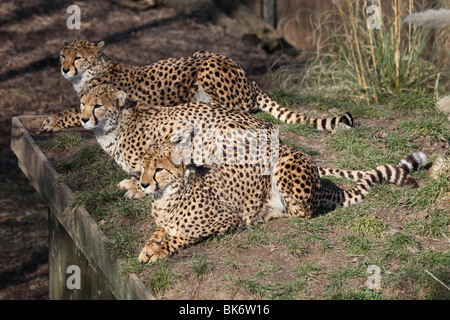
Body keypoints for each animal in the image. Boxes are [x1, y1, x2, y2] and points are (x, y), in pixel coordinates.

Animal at [40, 40, 354, 132]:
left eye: (77, 57)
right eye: (62, 56)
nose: (64, 68)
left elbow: (76, 114)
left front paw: (50, 121)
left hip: (207, 66)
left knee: (243, 108)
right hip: (201, 53)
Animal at [139, 142, 428, 262]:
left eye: (159, 169)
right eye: (143, 167)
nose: (142, 184)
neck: (166, 195)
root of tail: (318, 175)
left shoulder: (226, 219)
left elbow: (182, 235)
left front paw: (160, 251)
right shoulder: (164, 221)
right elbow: (158, 231)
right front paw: (147, 249)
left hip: (283, 162)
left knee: (304, 212)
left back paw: (267, 212)